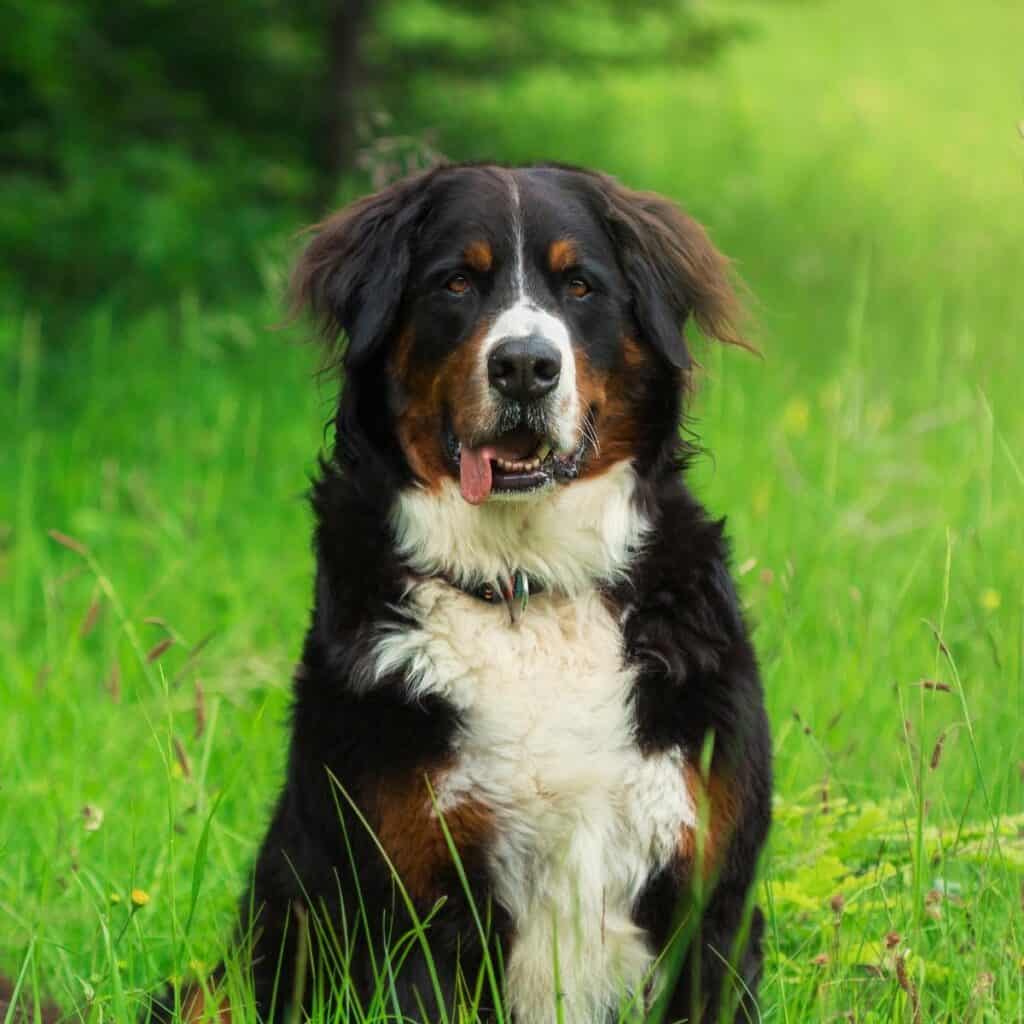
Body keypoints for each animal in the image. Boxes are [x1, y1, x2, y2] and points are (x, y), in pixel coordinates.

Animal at [157, 159, 770, 1024]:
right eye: (455, 283)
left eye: (580, 285)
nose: (524, 366)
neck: (523, 589)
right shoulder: (421, 911)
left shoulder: (710, 905)